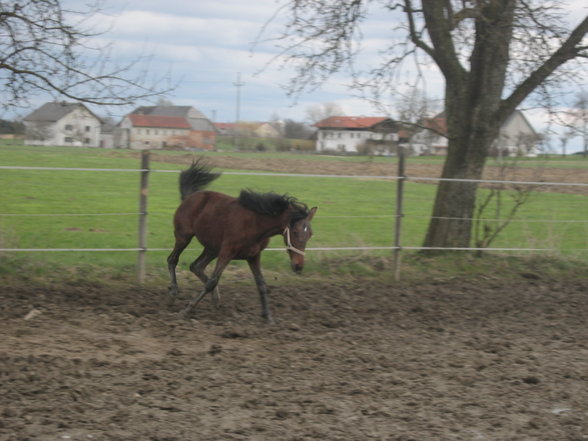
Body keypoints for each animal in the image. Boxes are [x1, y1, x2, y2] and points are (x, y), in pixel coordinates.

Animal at [165, 159, 316, 324]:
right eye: (295, 232)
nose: (298, 266)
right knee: (173, 259)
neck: (256, 225)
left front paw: (268, 317)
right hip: (184, 237)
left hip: (212, 248)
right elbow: (213, 281)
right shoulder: (227, 252)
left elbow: (261, 284)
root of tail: (190, 197)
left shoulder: (254, 256)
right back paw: (173, 294)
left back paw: (216, 300)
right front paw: (186, 310)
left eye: (310, 235)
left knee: (196, 266)